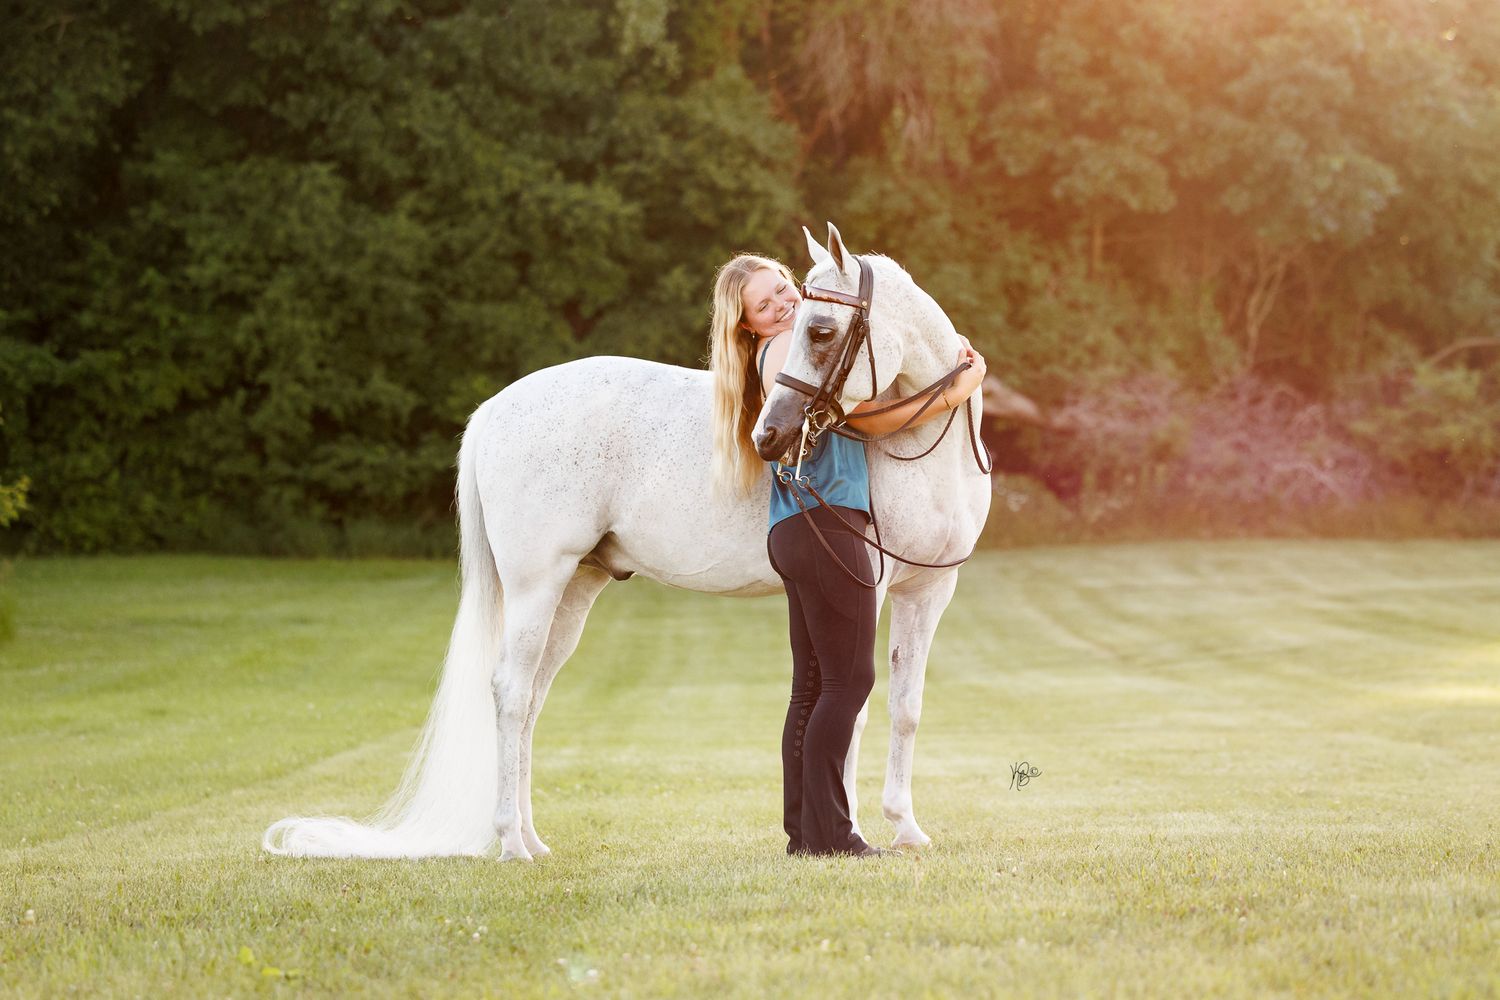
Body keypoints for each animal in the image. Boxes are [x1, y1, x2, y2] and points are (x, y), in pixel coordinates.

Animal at [263, 223, 992, 861]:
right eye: (798, 327)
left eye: (820, 328)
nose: (771, 436)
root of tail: (493, 411)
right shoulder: (866, 584)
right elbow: (857, 709)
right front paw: (857, 831)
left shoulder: (930, 589)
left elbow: (905, 707)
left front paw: (906, 828)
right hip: (537, 584)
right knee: (509, 691)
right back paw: (509, 844)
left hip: (573, 592)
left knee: (531, 700)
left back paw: (531, 839)